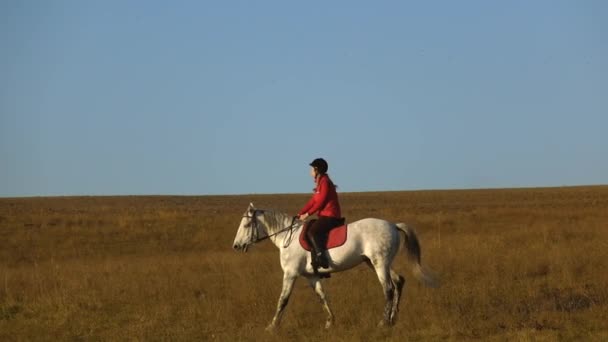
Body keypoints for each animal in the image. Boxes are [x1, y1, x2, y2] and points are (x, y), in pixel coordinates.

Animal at [232, 203, 436, 328]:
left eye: (246, 225)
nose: (236, 246)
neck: (287, 237)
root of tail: (393, 225)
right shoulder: (312, 276)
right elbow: (322, 297)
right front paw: (330, 322)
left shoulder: (290, 274)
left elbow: (283, 300)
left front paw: (272, 326)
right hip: (376, 263)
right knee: (399, 281)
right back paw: (393, 319)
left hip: (379, 264)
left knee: (388, 289)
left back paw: (383, 322)